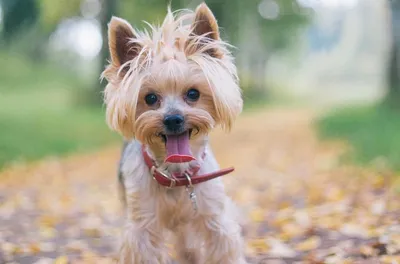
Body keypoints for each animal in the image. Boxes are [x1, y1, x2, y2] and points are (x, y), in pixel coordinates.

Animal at [101, 2, 245, 264]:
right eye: (150, 98)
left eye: (193, 93)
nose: (173, 119)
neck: (178, 175)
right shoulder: (142, 227)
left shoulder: (215, 219)